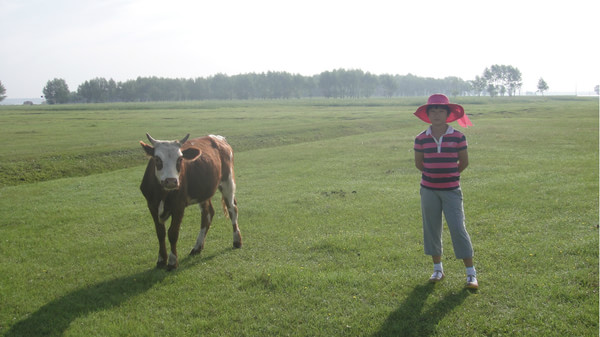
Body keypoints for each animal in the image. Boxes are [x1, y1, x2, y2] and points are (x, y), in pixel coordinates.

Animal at [140, 133, 241, 270]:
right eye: (157, 159)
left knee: (232, 209)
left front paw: (172, 261)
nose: (171, 181)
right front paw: (161, 259)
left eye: (180, 159)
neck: (162, 194)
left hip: (228, 182)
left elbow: (173, 233)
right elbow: (160, 232)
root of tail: (218, 138)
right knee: (208, 214)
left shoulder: (179, 206)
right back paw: (197, 247)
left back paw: (237, 240)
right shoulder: (151, 205)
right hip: (204, 191)